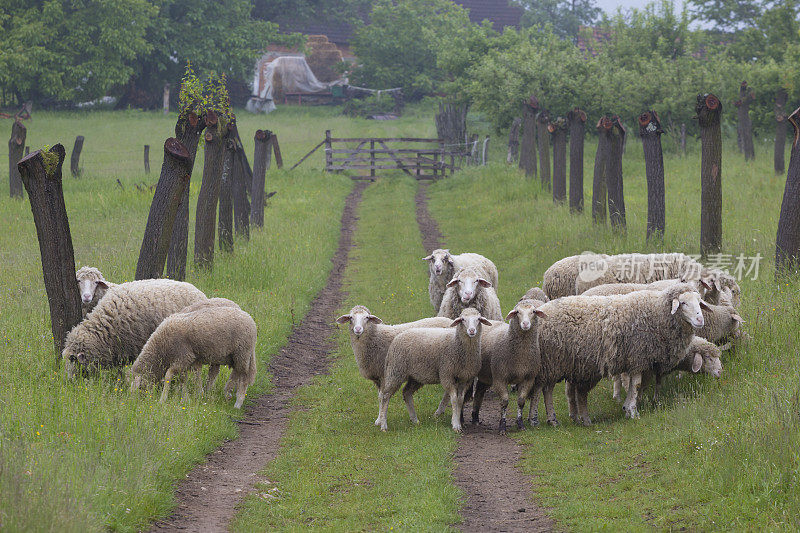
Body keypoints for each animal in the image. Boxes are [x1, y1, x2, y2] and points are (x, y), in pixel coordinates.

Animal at [468, 298, 544, 434]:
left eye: (534, 311)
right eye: (517, 312)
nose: (525, 324)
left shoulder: (528, 379)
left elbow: (521, 401)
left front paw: (520, 424)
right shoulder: (500, 378)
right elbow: (504, 402)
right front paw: (502, 426)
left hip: (486, 376)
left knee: (479, 393)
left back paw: (475, 418)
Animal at [536, 282, 704, 424]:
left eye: (699, 301)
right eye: (683, 303)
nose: (700, 320)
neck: (656, 313)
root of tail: (542, 310)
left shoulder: (637, 361)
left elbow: (633, 386)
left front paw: (627, 408)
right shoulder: (638, 357)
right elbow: (636, 385)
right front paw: (633, 411)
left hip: (571, 364)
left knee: (569, 390)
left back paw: (575, 417)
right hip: (552, 361)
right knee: (547, 390)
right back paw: (553, 419)